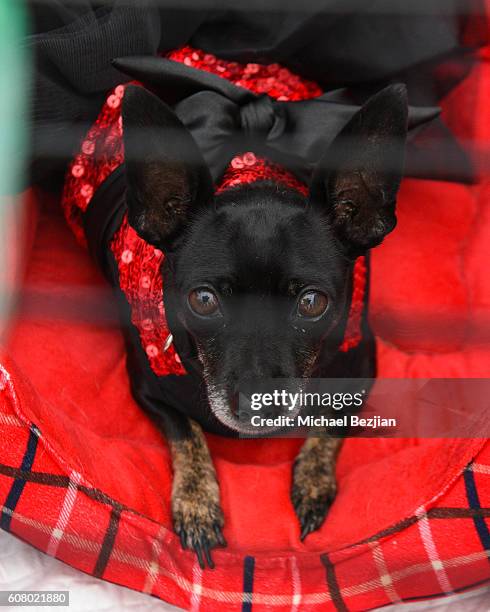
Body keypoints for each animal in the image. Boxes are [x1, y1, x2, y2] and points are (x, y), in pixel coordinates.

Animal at [119, 82, 410, 568]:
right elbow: (186, 432)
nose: (261, 403)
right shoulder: (147, 387)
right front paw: (197, 504)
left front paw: (313, 485)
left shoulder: (362, 363)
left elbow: (333, 420)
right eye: (203, 300)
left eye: (312, 303)